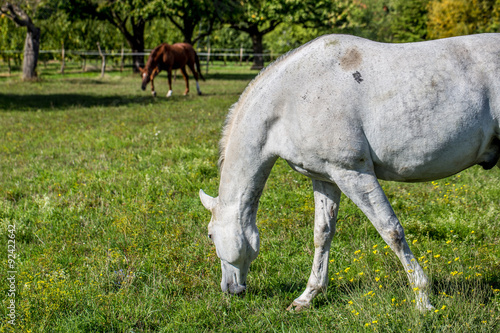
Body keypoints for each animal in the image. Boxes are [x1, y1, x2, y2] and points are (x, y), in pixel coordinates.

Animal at [199, 32, 500, 310]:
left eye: (210, 235)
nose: (230, 289)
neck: (291, 99)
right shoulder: (325, 178)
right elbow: (322, 234)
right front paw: (307, 296)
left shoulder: (353, 174)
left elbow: (391, 231)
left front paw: (423, 300)